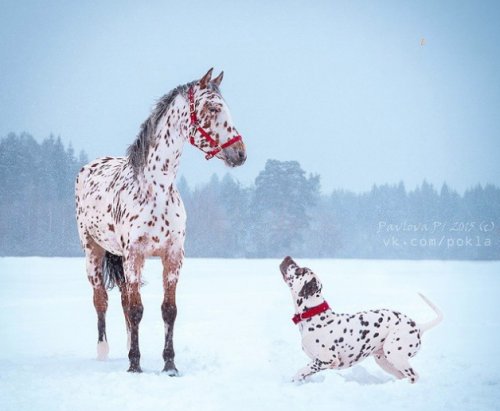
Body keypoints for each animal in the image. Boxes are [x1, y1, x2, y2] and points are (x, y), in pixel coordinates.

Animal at [75, 69, 247, 374]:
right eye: (213, 107)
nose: (240, 153)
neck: (156, 190)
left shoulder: (173, 255)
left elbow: (168, 310)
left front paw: (169, 365)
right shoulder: (134, 255)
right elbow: (136, 310)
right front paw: (135, 365)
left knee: (122, 300)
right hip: (93, 252)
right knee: (101, 300)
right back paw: (104, 351)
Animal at [280, 256, 444, 384]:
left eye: (300, 271)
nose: (288, 257)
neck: (314, 315)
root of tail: (419, 326)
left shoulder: (328, 360)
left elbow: (301, 371)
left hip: (395, 354)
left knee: (414, 376)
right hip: (384, 360)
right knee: (404, 376)